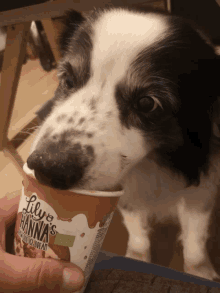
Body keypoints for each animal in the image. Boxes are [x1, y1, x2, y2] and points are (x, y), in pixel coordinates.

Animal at [26, 6, 220, 278]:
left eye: (147, 103)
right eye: (68, 81)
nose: (47, 168)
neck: (154, 161)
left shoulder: (201, 188)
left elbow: (195, 238)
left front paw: (199, 272)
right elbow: (136, 227)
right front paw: (137, 257)